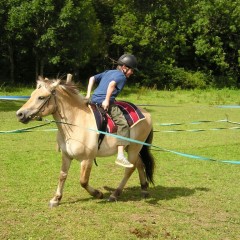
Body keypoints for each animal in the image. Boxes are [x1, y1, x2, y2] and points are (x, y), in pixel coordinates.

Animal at [16, 74, 156, 206]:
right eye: (32, 95)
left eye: (41, 97)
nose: (20, 114)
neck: (76, 123)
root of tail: (146, 114)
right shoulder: (66, 155)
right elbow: (62, 175)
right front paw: (56, 199)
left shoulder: (87, 159)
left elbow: (83, 181)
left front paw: (98, 194)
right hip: (131, 149)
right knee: (139, 164)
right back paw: (144, 189)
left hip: (133, 149)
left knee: (129, 170)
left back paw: (115, 194)